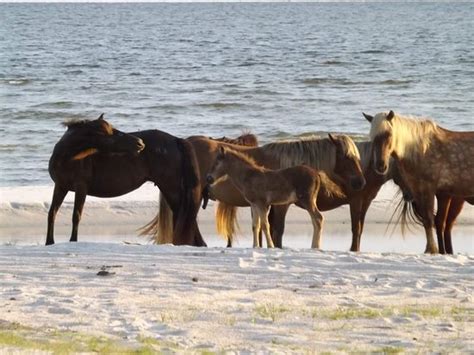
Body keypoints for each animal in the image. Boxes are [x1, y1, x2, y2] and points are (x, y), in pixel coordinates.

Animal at [45, 114, 205, 248]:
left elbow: (76, 215)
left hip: (171, 188)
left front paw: (73, 241)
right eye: (108, 132)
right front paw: (49, 242)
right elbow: (52, 213)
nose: (140, 143)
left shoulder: (81, 187)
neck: (67, 158)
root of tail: (176, 140)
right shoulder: (60, 186)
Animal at [366, 110, 474, 253]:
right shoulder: (419, 191)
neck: (420, 150)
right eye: (372, 137)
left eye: (388, 134)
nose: (380, 166)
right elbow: (428, 221)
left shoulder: (429, 189)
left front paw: (432, 249)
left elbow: (429, 219)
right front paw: (431, 249)